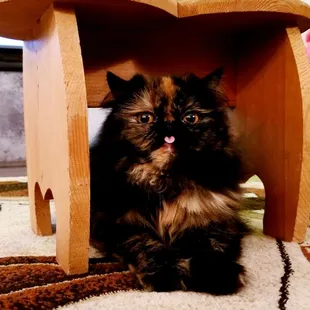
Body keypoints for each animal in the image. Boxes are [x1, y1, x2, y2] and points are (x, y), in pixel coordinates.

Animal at [89, 69, 249, 294]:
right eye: (145, 117)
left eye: (190, 117)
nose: (169, 125)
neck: (167, 181)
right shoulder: (120, 226)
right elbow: (148, 247)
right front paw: (166, 276)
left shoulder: (214, 220)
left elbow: (211, 247)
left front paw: (218, 277)